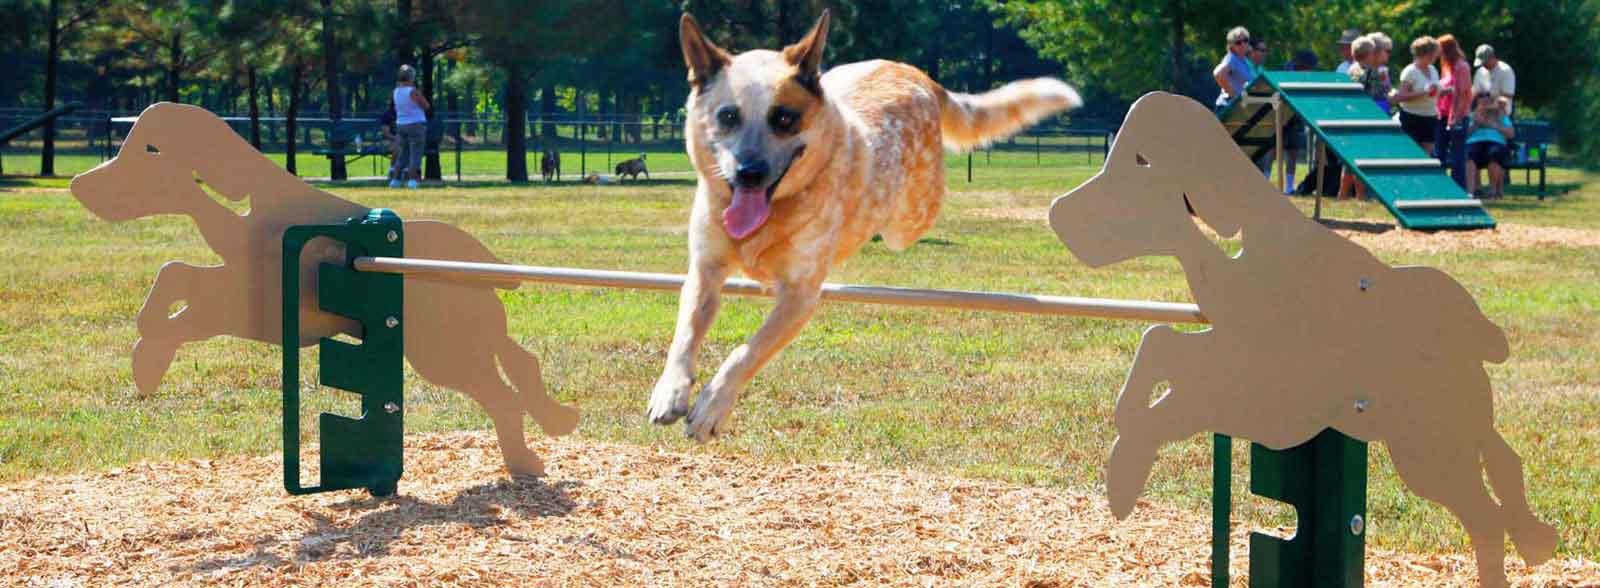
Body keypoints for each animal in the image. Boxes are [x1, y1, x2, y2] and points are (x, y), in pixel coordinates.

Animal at [649, 10, 1088, 441]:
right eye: (727, 116)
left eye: (784, 118)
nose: (749, 173)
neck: (775, 214)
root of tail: (918, 74)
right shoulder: (705, 272)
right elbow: (685, 335)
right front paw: (669, 392)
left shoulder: (800, 295)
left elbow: (747, 351)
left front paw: (711, 407)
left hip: (910, 218)